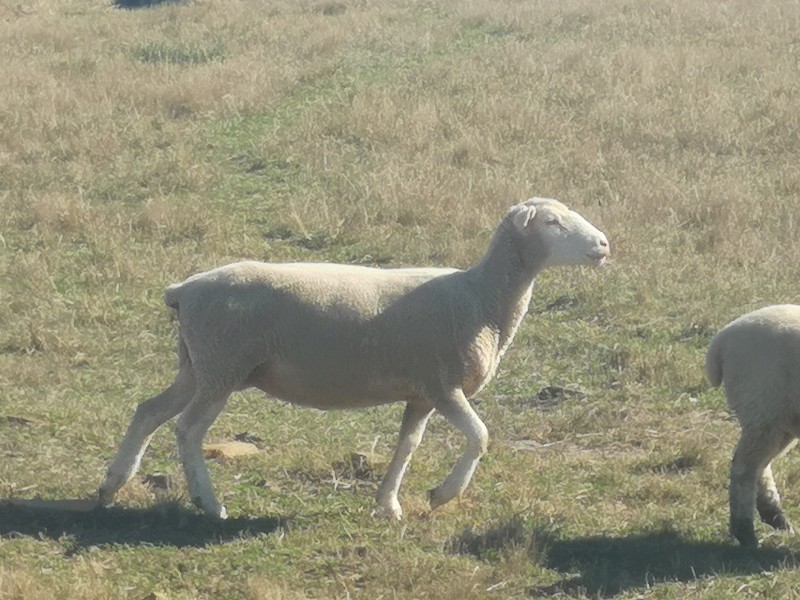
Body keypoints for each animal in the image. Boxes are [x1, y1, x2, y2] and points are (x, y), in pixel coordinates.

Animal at [98, 197, 610, 520]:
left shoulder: (421, 393)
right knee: (187, 429)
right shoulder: (443, 383)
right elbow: (480, 436)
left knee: (148, 411)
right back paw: (209, 502)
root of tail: (184, 290)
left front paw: (389, 505)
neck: (482, 297)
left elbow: (407, 446)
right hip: (222, 367)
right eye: (552, 223)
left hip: (197, 365)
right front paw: (442, 495)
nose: (604, 244)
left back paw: (112, 484)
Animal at [706, 304, 800, 546]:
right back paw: (746, 532)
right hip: (762, 409)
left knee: (760, 468)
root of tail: (722, 339)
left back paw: (777, 520)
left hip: (779, 419)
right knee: (744, 469)